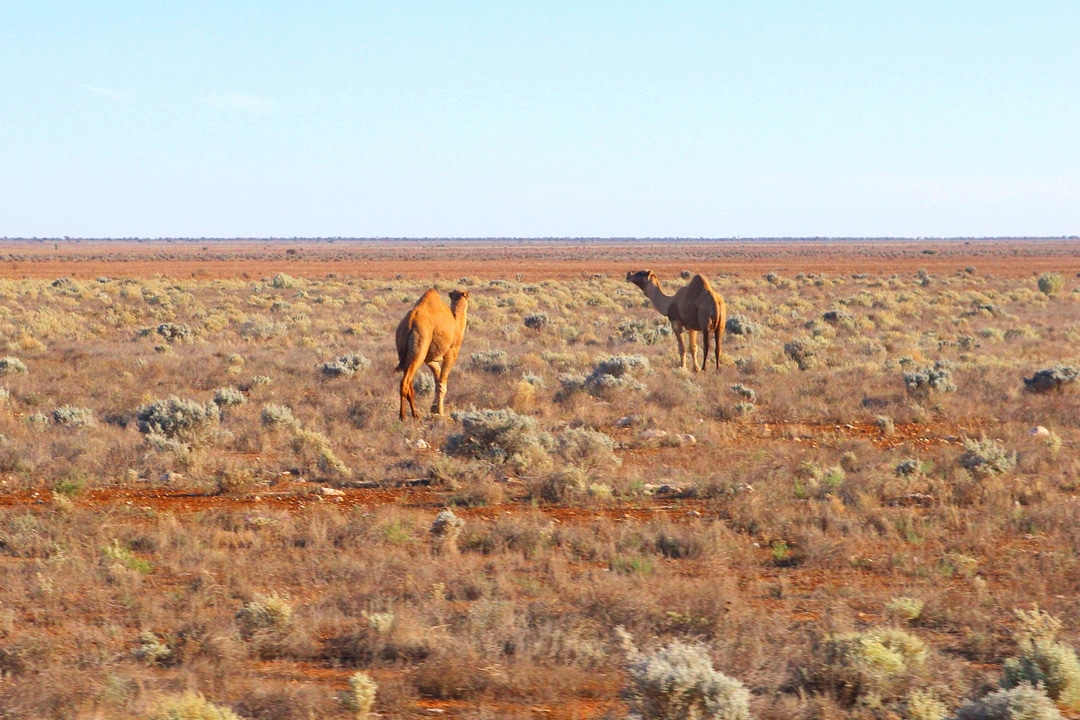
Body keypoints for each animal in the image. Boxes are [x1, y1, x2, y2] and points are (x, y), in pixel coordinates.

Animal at [393, 289, 468, 418]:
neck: (456, 324)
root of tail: (410, 322)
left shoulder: (430, 359)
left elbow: (437, 382)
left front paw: (434, 409)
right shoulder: (451, 352)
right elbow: (443, 384)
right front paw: (440, 413)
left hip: (405, 352)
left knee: (409, 383)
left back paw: (415, 414)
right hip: (419, 349)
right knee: (405, 382)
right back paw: (404, 416)